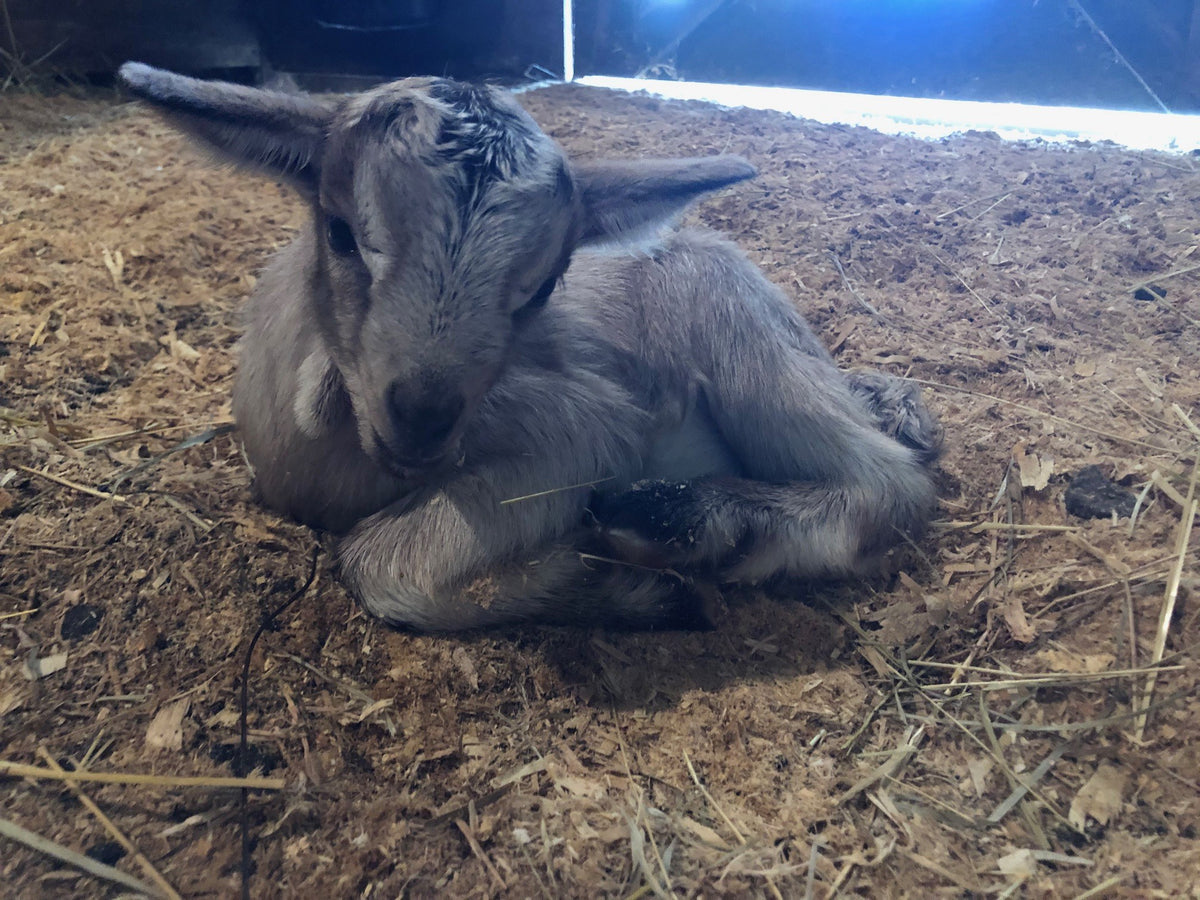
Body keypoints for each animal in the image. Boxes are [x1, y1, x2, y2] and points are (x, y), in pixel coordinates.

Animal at [118, 63, 941, 631]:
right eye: (342, 232)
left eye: (542, 286)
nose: (423, 415)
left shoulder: (584, 427)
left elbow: (376, 564)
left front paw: (621, 586)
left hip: (736, 333)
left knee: (888, 483)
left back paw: (684, 518)